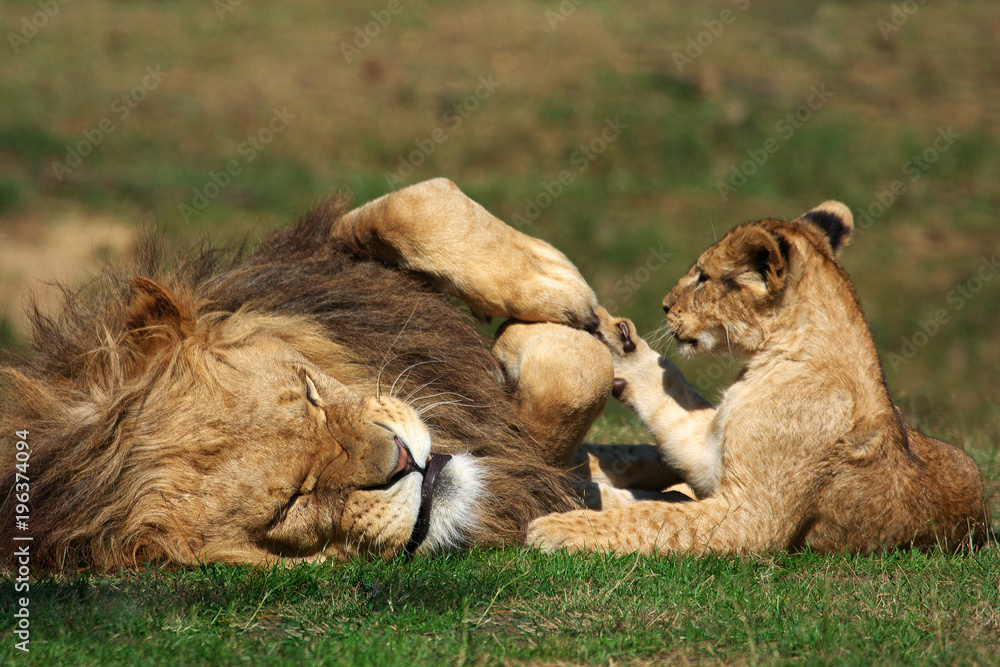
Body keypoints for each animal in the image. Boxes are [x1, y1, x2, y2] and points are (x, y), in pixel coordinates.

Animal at [1, 178, 623, 571]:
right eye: (291, 504)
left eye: (308, 395)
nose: (404, 461)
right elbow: (571, 386)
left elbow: (413, 204)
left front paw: (560, 290)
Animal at [528, 201, 990, 555]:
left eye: (703, 277)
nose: (664, 305)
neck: (775, 357)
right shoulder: (711, 453)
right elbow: (669, 394)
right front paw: (616, 344)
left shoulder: (753, 517)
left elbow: (656, 518)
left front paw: (557, 527)